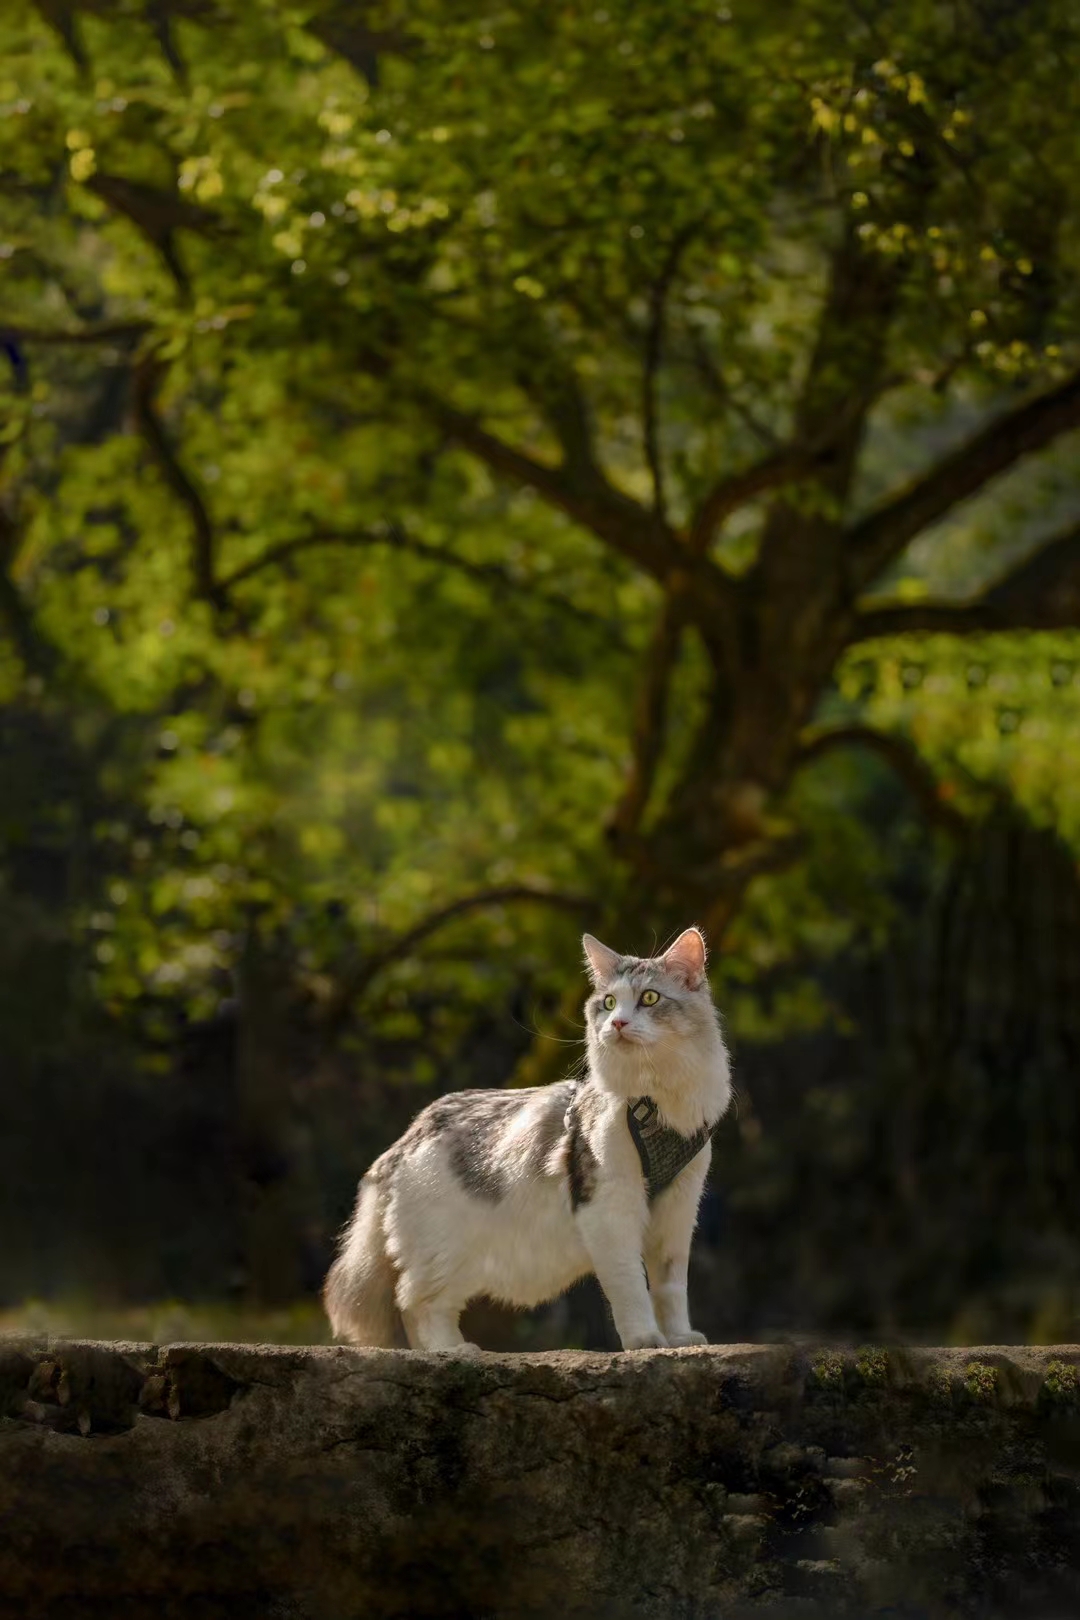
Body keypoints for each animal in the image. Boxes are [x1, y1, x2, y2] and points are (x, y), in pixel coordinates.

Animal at [318, 926, 725, 1354]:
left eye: (649, 998)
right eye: (609, 1003)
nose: (617, 1024)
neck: (656, 1099)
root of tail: (407, 1138)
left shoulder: (677, 1212)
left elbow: (670, 1289)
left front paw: (680, 1339)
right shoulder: (609, 1208)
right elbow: (631, 1286)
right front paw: (646, 1340)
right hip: (446, 1251)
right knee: (415, 1302)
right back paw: (453, 1350)